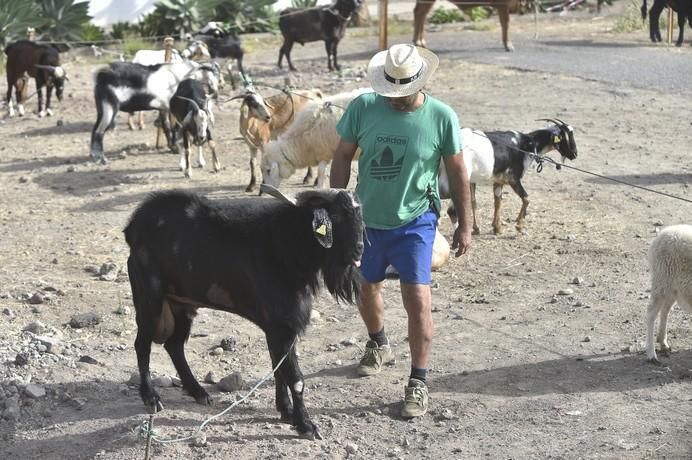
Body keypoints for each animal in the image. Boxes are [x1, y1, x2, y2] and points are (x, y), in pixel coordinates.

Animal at [90, 59, 219, 164]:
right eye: (215, 73)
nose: (216, 92)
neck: (179, 77)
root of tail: (101, 74)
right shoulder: (169, 108)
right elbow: (172, 127)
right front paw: (175, 148)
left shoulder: (163, 108)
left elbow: (166, 126)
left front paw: (172, 146)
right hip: (109, 108)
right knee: (99, 131)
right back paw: (102, 159)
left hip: (102, 108)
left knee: (95, 129)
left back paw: (94, 156)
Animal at [125, 185, 364, 440]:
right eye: (336, 216)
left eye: (360, 214)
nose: (358, 250)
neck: (286, 247)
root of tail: (133, 228)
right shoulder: (281, 326)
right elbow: (295, 378)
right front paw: (306, 425)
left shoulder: (277, 329)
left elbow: (278, 370)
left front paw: (287, 412)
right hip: (149, 300)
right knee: (143, 345)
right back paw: (151, 398)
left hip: (181, 305)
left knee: (174, 345)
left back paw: (199, 392)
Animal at [438, 119, 580, 234]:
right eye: (566, 136)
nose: (575, 154)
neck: (527, 145)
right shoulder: (513, 178)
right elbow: (526, 198)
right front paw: (519, 226)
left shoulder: (499, 180)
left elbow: (498, 201)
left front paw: (497, 228)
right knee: (451, 210)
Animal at [644, 226, 692, 362]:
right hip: (662, 281)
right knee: (651, 313)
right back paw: (652, 355)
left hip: (672, 289)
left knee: (665, 310)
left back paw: (663, 343)